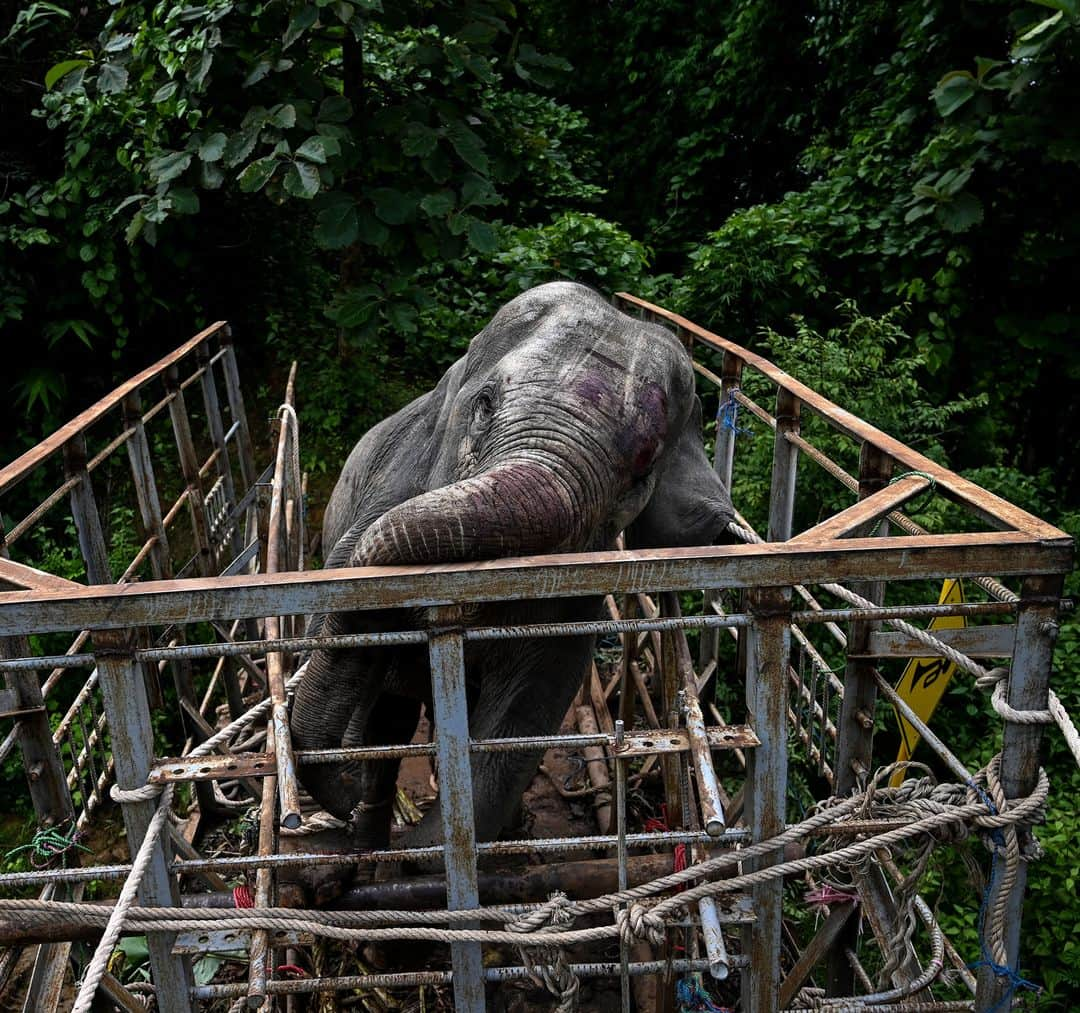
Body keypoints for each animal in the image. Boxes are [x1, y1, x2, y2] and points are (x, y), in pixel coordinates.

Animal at [289, 280, 734, 855]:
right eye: (483, 405)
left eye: (642, 467)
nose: (344, 803)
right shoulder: (379, 503)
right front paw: (377, 832)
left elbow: (520, 716)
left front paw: (430, 846)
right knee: (391, 716)